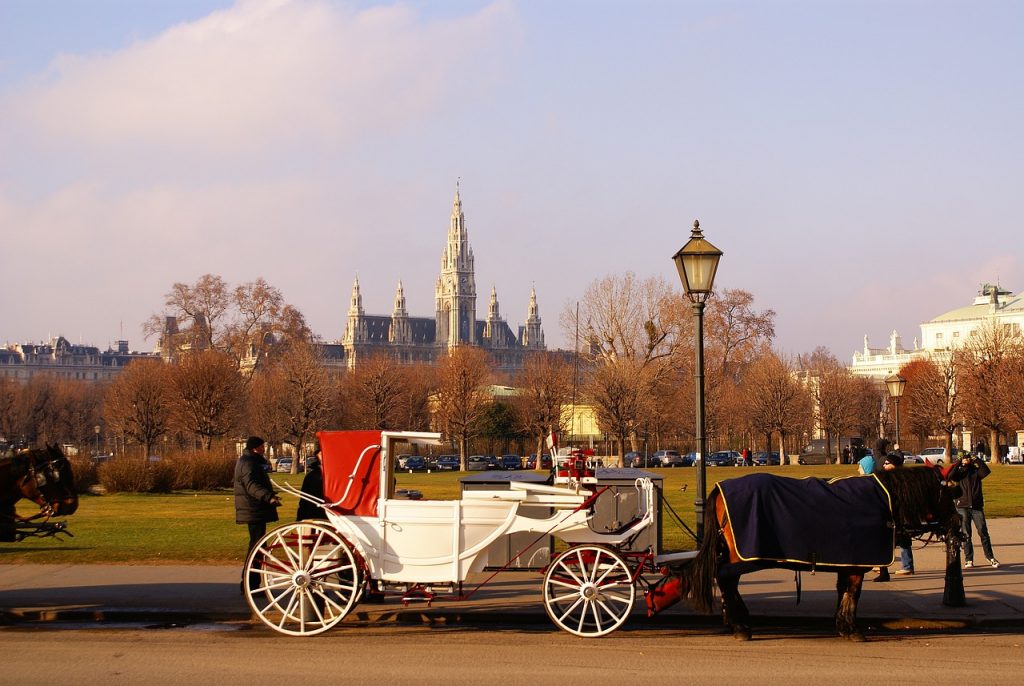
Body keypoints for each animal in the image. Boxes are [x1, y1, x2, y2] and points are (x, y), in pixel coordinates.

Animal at [679, 464, 966, 642]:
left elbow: (843, 591)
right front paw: (852, 629)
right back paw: (739, 625)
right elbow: (853, 592)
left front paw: (842, 626)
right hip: (739, 556)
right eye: (949, 493)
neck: (884, 499)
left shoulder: (847, 561)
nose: (959, 523)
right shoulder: (856, 563)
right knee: (727, 581)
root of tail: (719, 488)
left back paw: (738, 621)